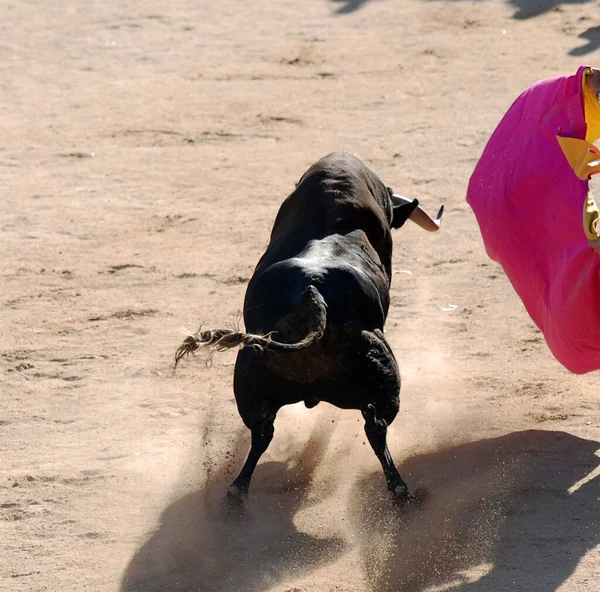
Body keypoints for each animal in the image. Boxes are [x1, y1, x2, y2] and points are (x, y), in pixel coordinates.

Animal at [173, 153, 440, 504]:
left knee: (262, 430)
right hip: (384, 380)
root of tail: (312, 292)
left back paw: (236, 492)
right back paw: (399, 490)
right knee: (376, 424)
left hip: (251, 377)